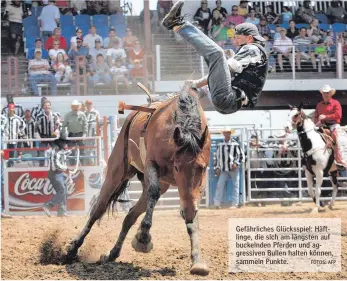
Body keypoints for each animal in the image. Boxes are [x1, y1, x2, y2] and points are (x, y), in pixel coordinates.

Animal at [65, 83, 212, 276]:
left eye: (201, 168)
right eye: (177, 167)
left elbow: (193, 210)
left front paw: (197, 260)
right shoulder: (151, 165)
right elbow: (154, 193)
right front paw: (143, 238)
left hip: (159, 183)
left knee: (130, 215)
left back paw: (112, 253)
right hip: (116, 173)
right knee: (98, 210)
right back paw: (73, 249)